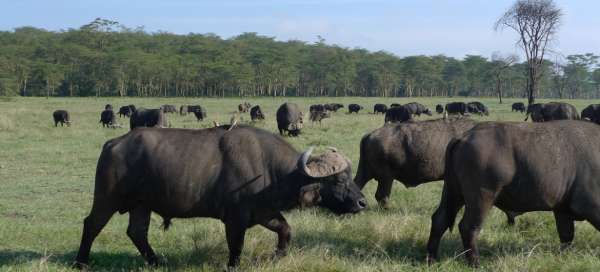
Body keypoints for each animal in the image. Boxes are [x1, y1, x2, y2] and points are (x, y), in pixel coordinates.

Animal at [74, 126, 366, 270]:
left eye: (349, 176)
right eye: (338, 179)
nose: (362, 202)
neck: (270, 169)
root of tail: (113, 144)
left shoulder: (264, 213)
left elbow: (286, 230)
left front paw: (277, 256)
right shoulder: (235, 220)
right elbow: (235, 247)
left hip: (141, 205)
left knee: (137, 232)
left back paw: (157, 262)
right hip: (106, 199)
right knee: (91, 224)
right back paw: (81, 262)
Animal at [426, 120, 600, 266]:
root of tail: (463, 136)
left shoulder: (562, 210)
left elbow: (566, 235)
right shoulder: (591, 207)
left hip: (453, 192)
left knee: (439, 219)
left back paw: (432, 259)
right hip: (481, 198)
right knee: (468, 227)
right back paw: (475, 263)